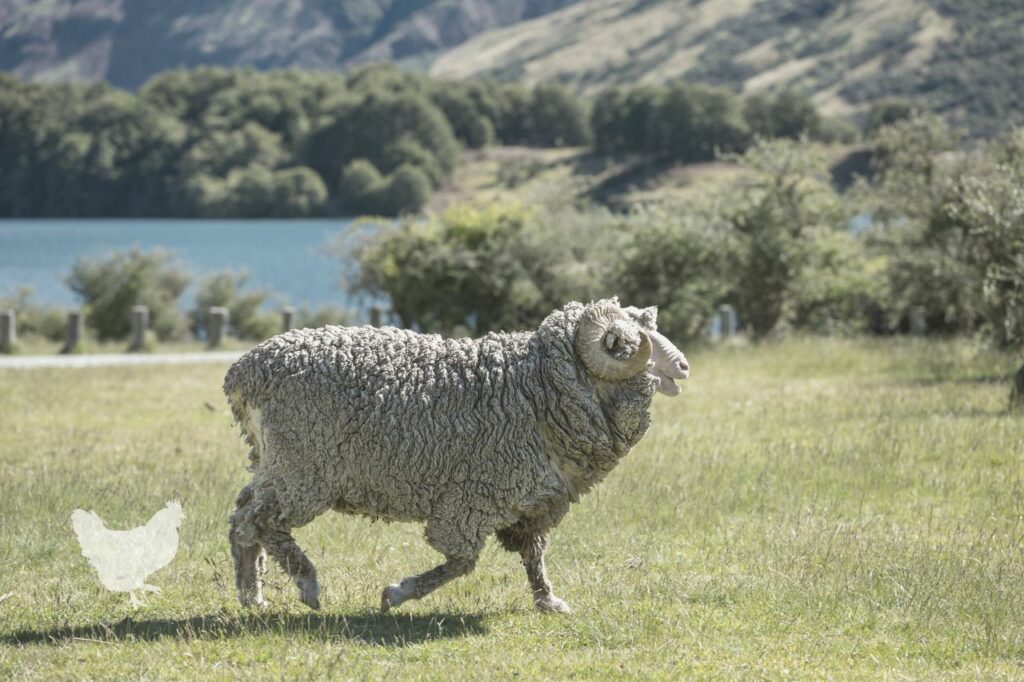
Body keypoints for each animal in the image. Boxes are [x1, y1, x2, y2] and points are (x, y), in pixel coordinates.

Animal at [224, 298, 688, 613]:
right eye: (628, 342)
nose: (683, 366)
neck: (536, 387)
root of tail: (244, 373)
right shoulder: (472, 496)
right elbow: (462, 560)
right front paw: (397, 593)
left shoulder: (537, 502)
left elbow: (533, 555)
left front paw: (548, 600)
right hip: (305, 470)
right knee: (263, 520)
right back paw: (306, 584)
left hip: (275, 464)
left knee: (243, 517)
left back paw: (252, 594)